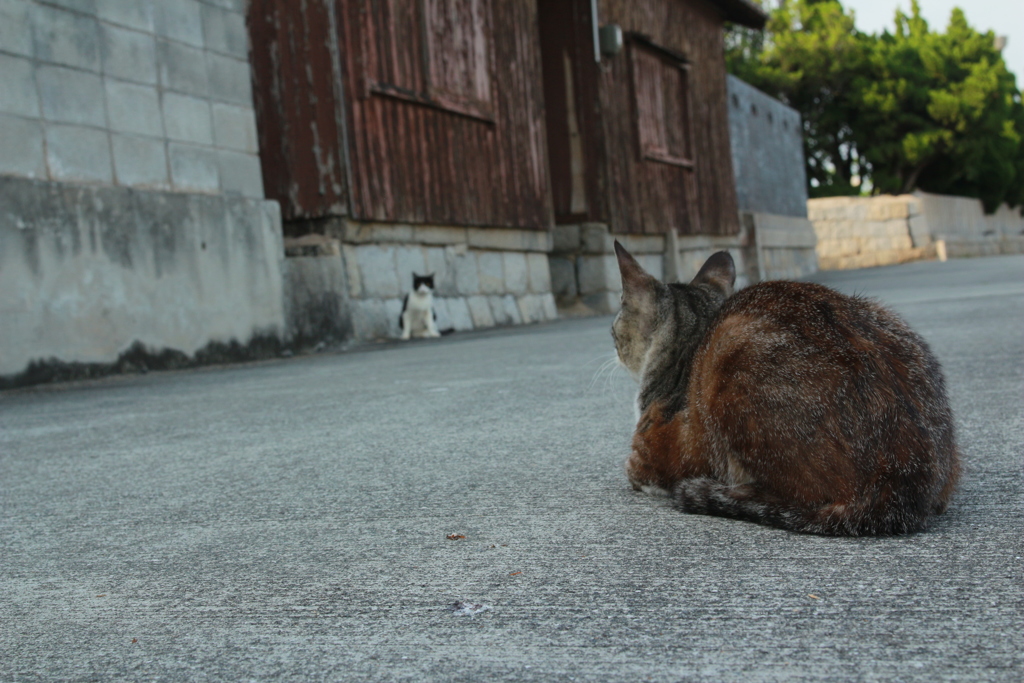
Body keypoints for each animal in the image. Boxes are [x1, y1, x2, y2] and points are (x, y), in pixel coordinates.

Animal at [614, 242, 958, 536]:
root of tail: (904, 486)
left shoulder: (652, 453)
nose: (613, 343)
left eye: (615, 328)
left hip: (733, 352)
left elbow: (638, 469)